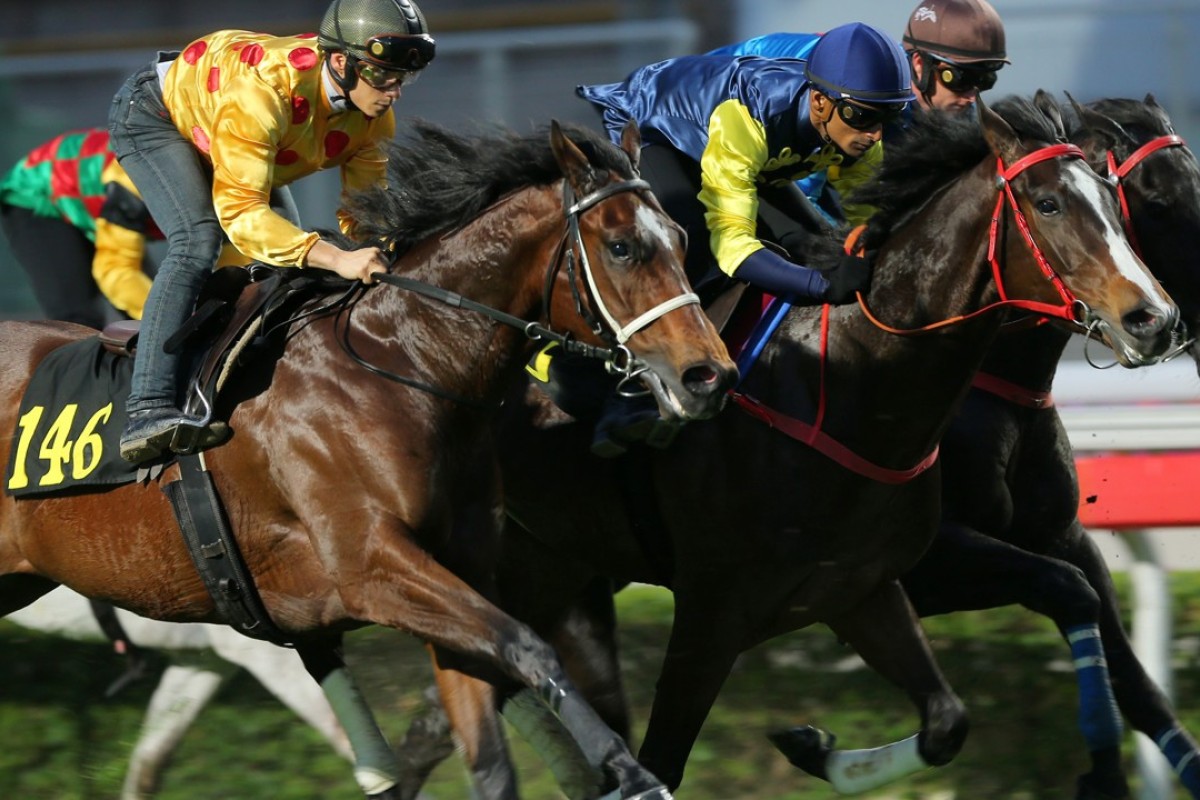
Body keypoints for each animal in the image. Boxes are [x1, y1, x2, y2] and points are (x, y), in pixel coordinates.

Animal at [0, 118, 734, 800]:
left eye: (681, 238)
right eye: (621, 246)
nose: (709, 376)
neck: (402, 362)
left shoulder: (449, 574)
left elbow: (492, 740)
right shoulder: (366, 569)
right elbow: (526, 646)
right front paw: (628, 769)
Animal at [400, 94, 1180, 796]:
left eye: (1116, 204)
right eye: (1048, 204)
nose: (1155, 318)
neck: (850, 382)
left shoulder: (862, 588)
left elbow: (951, 717)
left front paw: (814, 746)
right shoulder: (714, 613)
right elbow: (662, 763)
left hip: (551, 568)